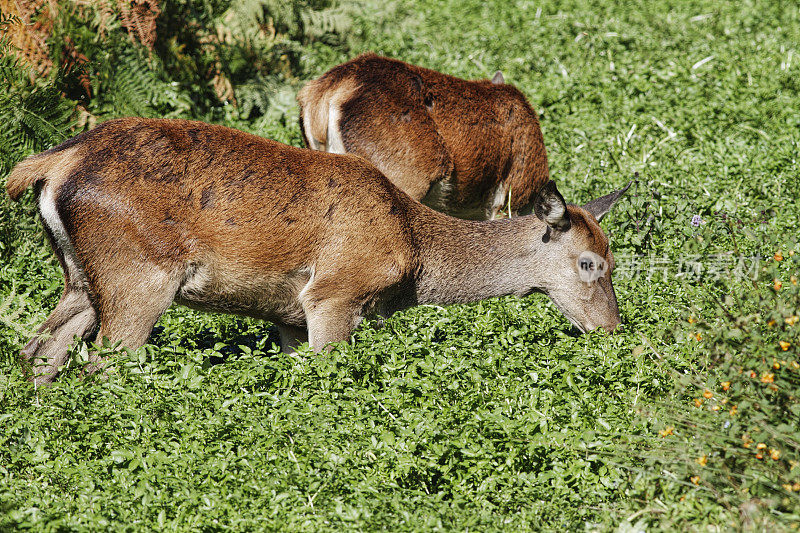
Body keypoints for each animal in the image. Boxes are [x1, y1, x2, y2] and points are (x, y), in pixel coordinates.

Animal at [6, 117, 632, 382]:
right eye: (590, 263)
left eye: (614, 258)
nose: (613, 329)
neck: (413, 254)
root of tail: (49, 166)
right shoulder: (334, 292)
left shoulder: (287, 313)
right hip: (138, 275)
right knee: (102, 362)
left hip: (80, 277)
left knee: (39, 349)